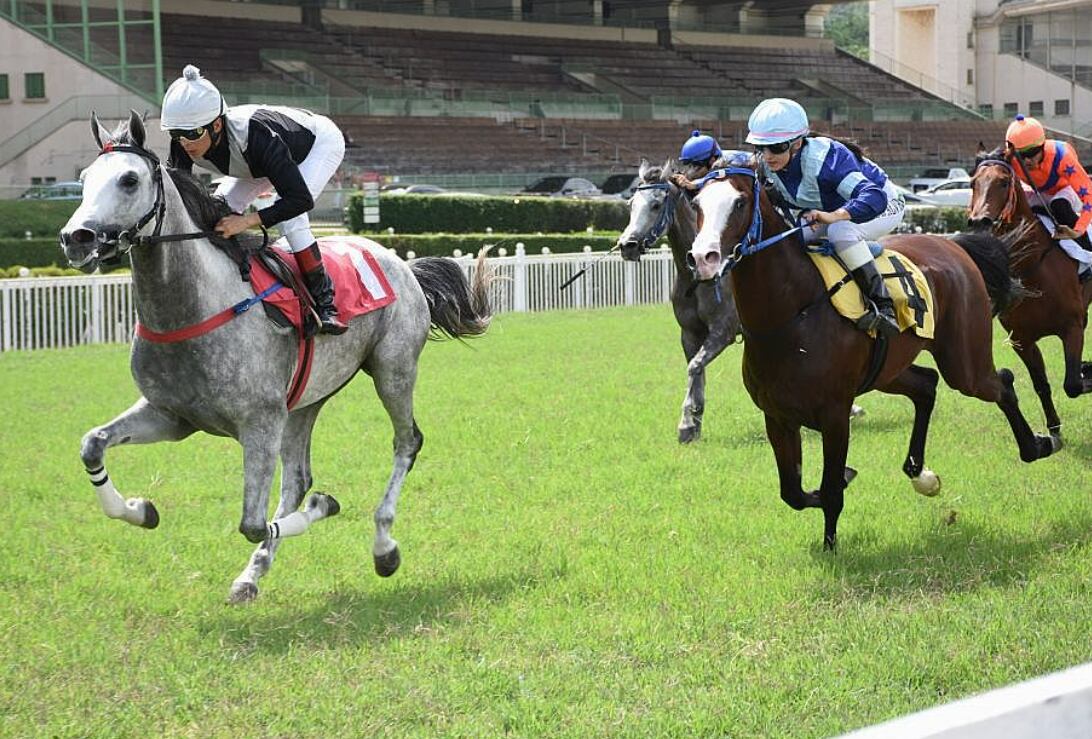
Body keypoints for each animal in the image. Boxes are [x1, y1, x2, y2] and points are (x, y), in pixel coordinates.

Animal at [60, 112, 495, 602]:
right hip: (305, 399)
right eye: (83, 179)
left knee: (407, 442)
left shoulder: (259, 423)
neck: (195, 307)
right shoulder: (171, 415)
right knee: (298, 477)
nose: (76, 239)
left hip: (393, 369)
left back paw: (383, 547)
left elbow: (251, 522)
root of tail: (401, 263)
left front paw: (326, 507)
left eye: (129, 179)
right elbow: (92, 444)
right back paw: (252, 574)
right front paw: (140, 509)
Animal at [615, 158, 742, 440]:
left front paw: (686, 423)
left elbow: (694, 367)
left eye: (656, 205)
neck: (696, 276)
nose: (627, 245)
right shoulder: (690, 333)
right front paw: (693, 423)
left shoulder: (723, 331)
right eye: (631, 205)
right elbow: (696, 369)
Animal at [690, 162, 1057, 554]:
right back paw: (921, 473)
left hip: (964, 363)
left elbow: (831, 490)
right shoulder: (777, 416)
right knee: (926, 385)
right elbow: (793, 492)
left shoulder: (835, 415)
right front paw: (838, 483)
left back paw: (1040, 444)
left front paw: (831, 545)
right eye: (696, 203)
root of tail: (952, 244)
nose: (703, 259)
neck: (791, 314)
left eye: (740, 202)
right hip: (889, 370)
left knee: (1002, 382)